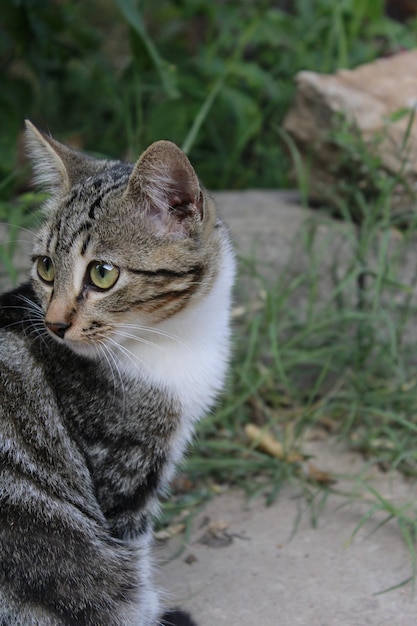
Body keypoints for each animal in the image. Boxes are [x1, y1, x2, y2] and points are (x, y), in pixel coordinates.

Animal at [0, 119, 234, 620]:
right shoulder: (122, 470)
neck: (172, 337)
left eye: (102, 274)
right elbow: (136, 559)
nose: (54, 324)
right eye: (46, 268)